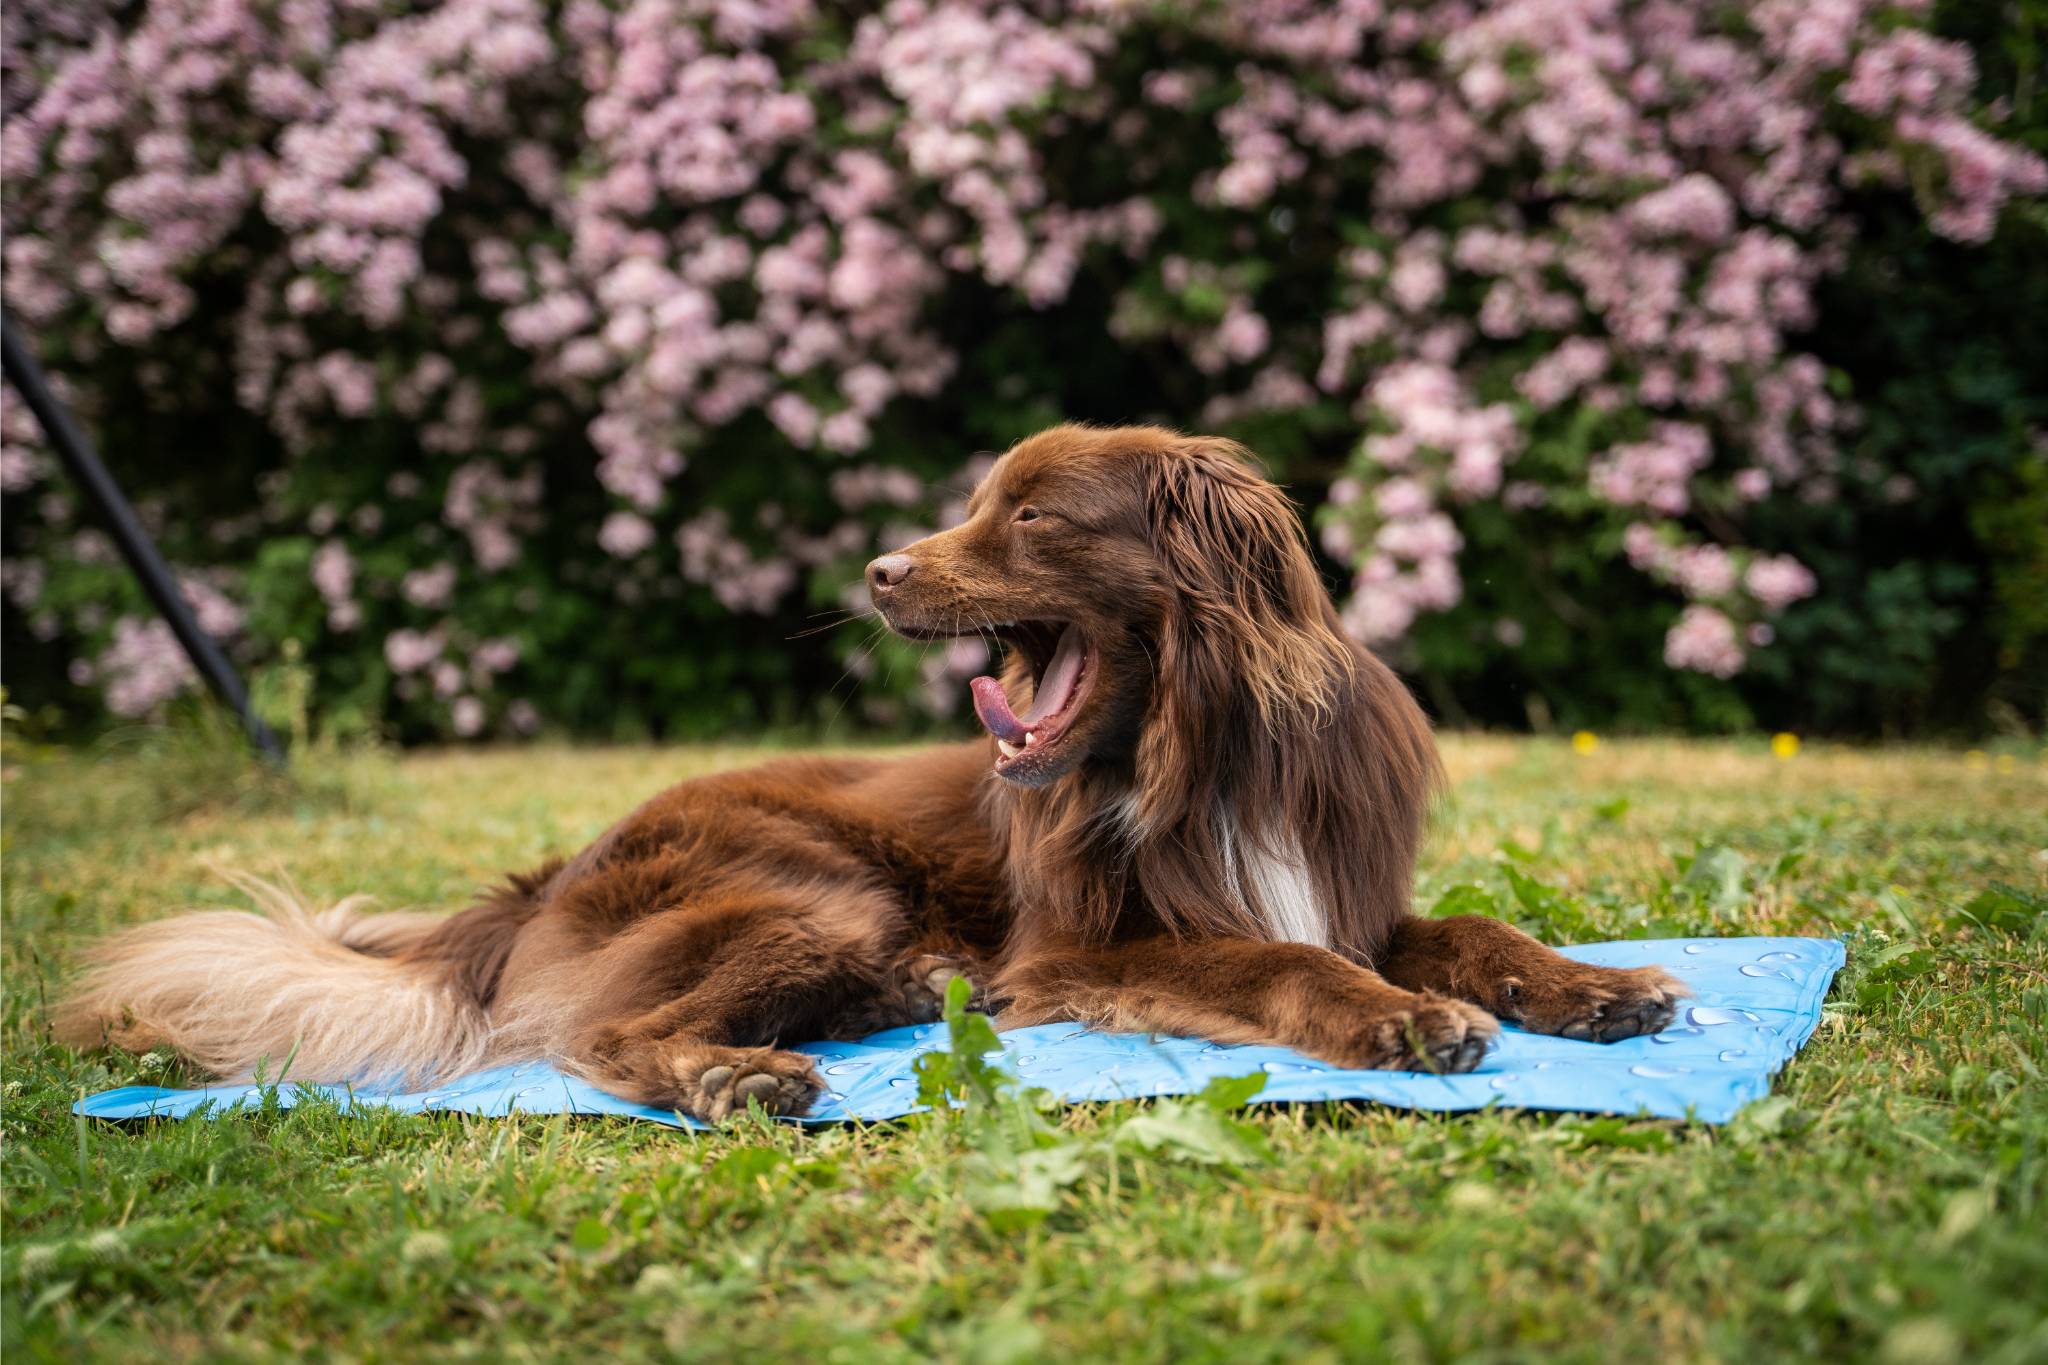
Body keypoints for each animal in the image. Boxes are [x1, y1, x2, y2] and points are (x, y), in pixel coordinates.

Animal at [56, 423, 1679, 1121]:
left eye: (1029, 515)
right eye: (979, 502)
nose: (878, 570)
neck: (1203, 748)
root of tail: (544, 879)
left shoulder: (1342, 885)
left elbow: (1465, 927)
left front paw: (1590, 987)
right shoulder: (1086, 950)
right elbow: (1278, 962)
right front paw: (1401, 1021)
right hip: (812, 889)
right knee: (601, 1040)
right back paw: (741, 1074)